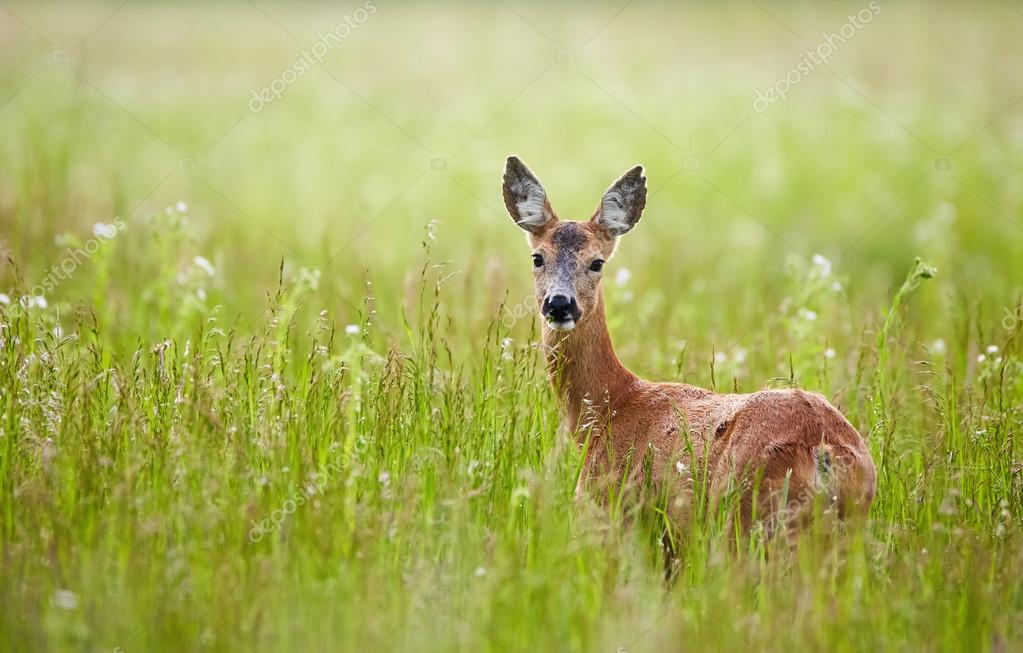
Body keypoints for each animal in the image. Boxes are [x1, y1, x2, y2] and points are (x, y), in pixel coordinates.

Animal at [499, 157, 875, 536]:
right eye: (537, 258)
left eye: (596, 262)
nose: (560, 304)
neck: (611, 407)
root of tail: (823, 449)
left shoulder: (610, 509)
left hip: (745, 516)